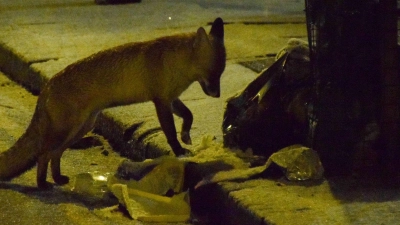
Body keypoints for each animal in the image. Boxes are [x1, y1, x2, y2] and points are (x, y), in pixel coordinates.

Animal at [0, 18, 225, 190]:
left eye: (221, 73)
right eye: (213, 73)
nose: (218, 95)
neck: (175, 62)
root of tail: (47, 85)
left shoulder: (172, 99)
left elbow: (189, 115)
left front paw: (186, 135)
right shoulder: (161, 101)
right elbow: (170, 132)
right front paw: (179, 152)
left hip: (82, 128)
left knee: (55, 153)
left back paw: (57, 179)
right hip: (66, 130)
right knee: (43, 154)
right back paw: (42, 184)